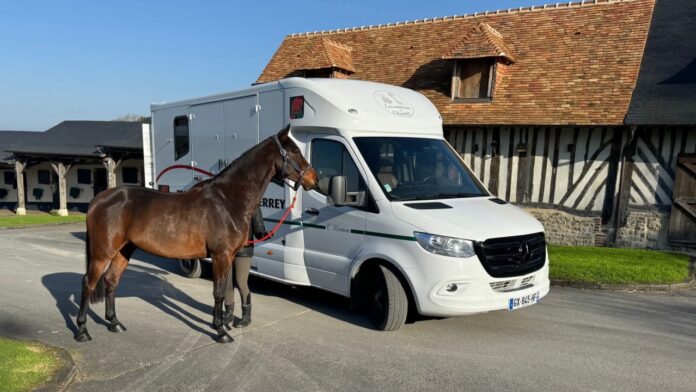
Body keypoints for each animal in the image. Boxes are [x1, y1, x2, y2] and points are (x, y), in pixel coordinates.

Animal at [74, 126, 318, 344]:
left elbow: (224, 291)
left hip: (124, 250)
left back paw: (114, 323)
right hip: (102, 253)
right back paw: (82, 331)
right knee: (88, 282)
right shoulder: (221, 255)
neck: (227, 200)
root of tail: (99, 200)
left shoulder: (227, 257)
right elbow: (219, 293)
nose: (314, 179)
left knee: (111, 280)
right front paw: (221, 332)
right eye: (294, 151)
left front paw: (220, 325)